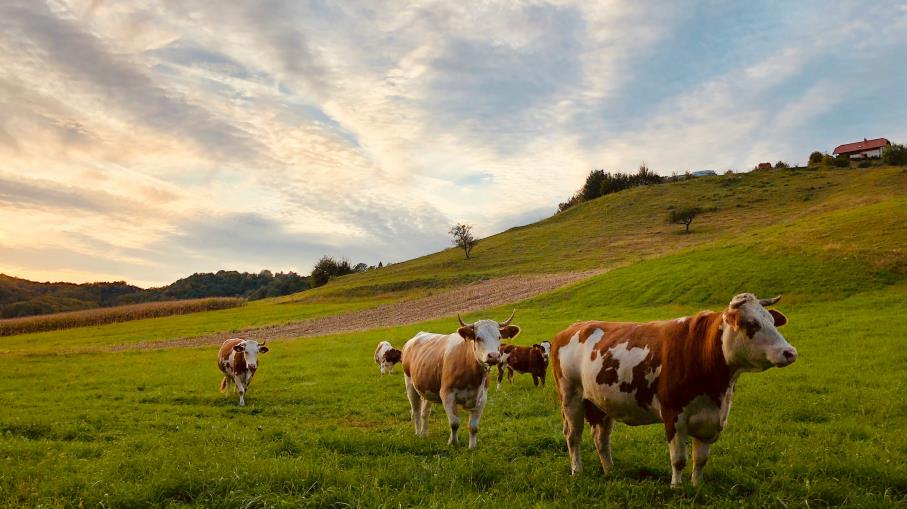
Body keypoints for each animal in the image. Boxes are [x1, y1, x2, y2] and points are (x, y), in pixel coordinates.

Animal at [401, 311, 521, 449]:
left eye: (499, 337)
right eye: (478, 338)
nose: (494, 356)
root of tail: (418, 335)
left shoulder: (482, 397)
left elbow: (473, 426)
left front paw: (472, 447)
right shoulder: (447, 395)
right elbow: (454, 423)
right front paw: (453, 442)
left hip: (427, 388)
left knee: (425, 412)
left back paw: (424, 433)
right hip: (410, 384)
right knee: (415, 411)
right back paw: (418, 433)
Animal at [551, 293, 796, 486]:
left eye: (772, 321)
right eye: (752, 324)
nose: (790, 352)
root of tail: (573, 327)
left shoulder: (712, 420)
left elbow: (700, 459)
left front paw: (697, 486)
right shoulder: (673, 415)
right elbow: (679, 459)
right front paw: (677, 488)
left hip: (600, 402)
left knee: (601, 438)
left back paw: (610, 471)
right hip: (571, 396)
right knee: (573, 435)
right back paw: (577, 471)